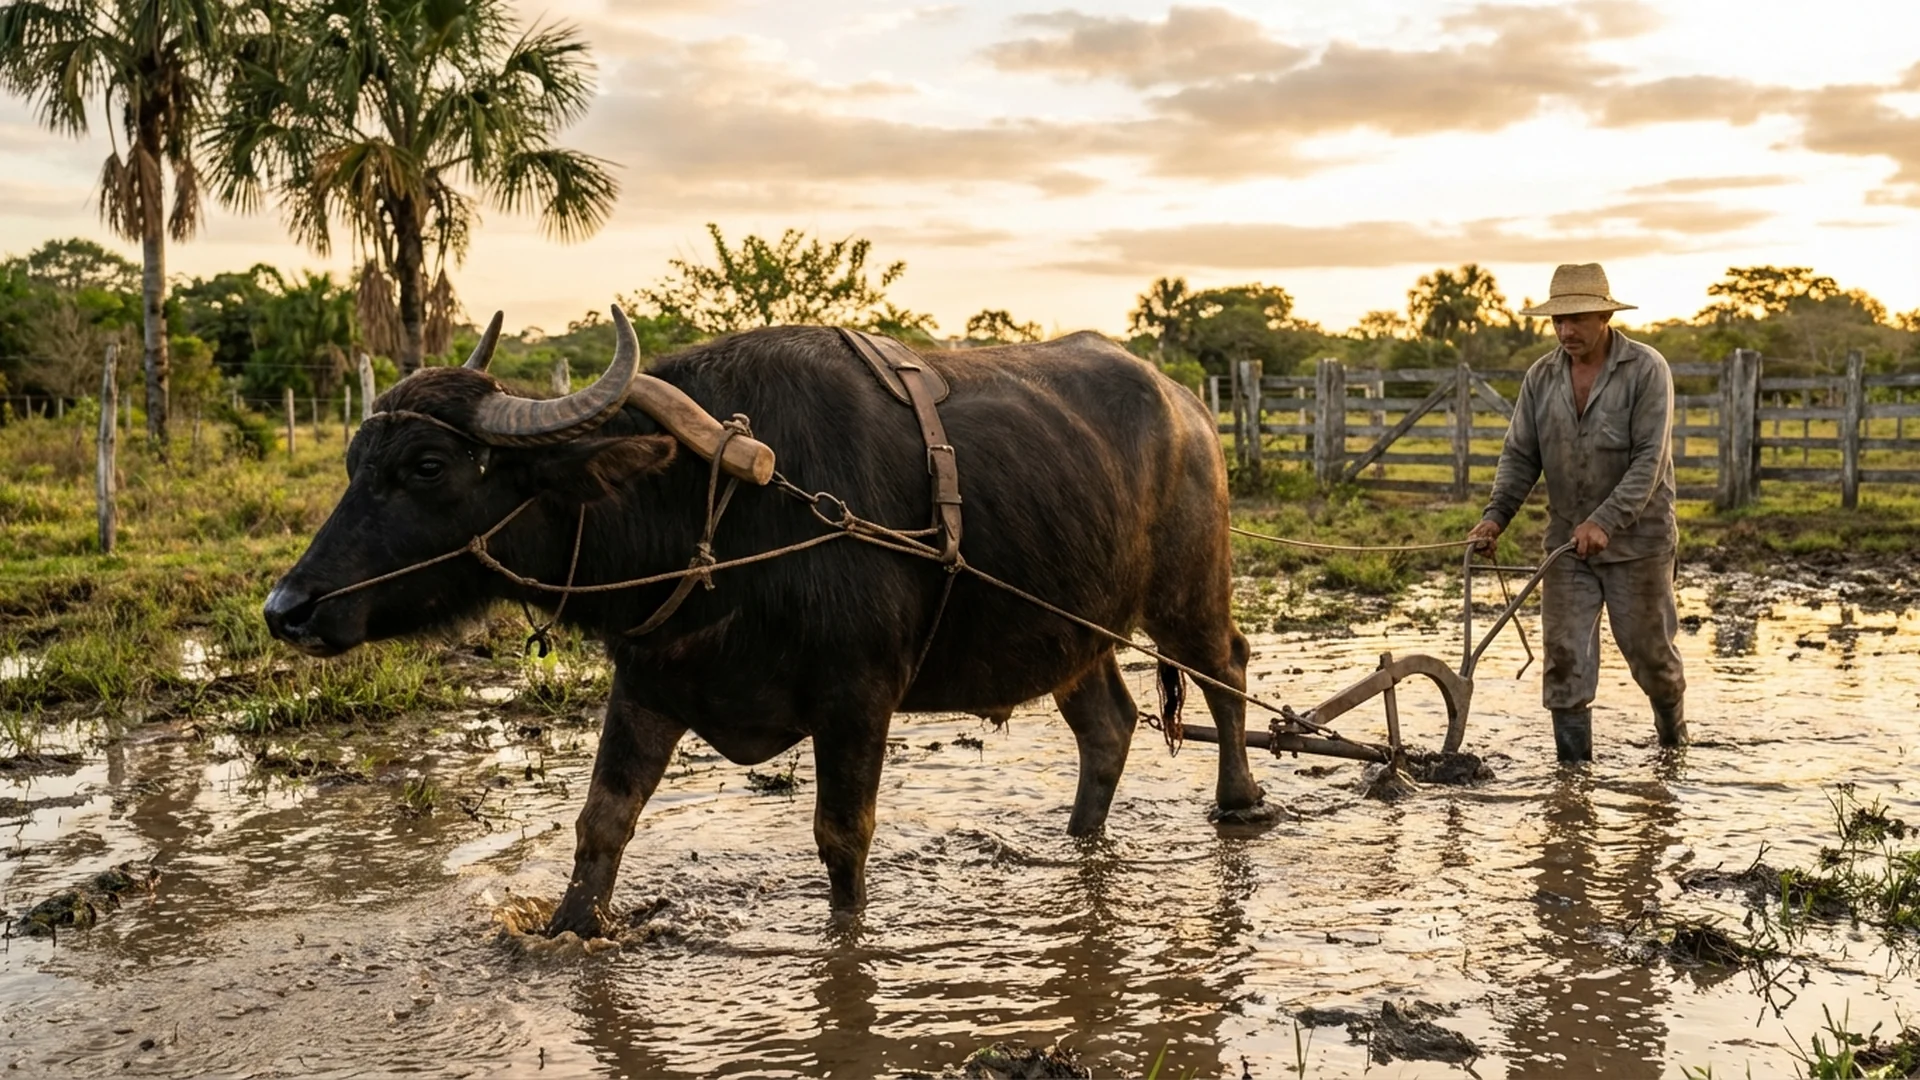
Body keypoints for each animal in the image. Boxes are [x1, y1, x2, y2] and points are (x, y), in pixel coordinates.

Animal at [264, 308, 1272, 935]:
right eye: (354, 462)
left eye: (428, 465)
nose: (289, 608)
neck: (705, 500)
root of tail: (1190, 405)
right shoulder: (649, 684)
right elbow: (602, 824)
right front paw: (567, 931)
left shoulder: (859, 698)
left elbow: (841, 838)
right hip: (1071, 627)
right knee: (1109, 724)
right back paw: (1077, 839)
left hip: (1187, 593)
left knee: (1227, 671)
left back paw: (1240, 799)